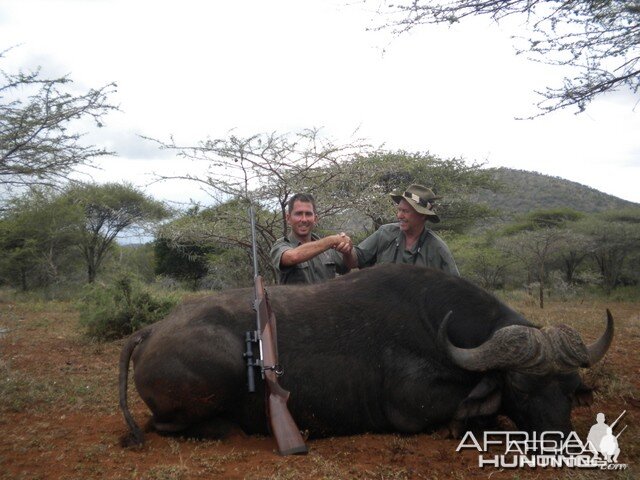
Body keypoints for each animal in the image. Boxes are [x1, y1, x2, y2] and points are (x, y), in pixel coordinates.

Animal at [117, 262, 612, 446]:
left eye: (568, 387)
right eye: (522, 387)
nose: (562, 440)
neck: (438, 326)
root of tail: (152, 329)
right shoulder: (412, 410)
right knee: (163, 426)